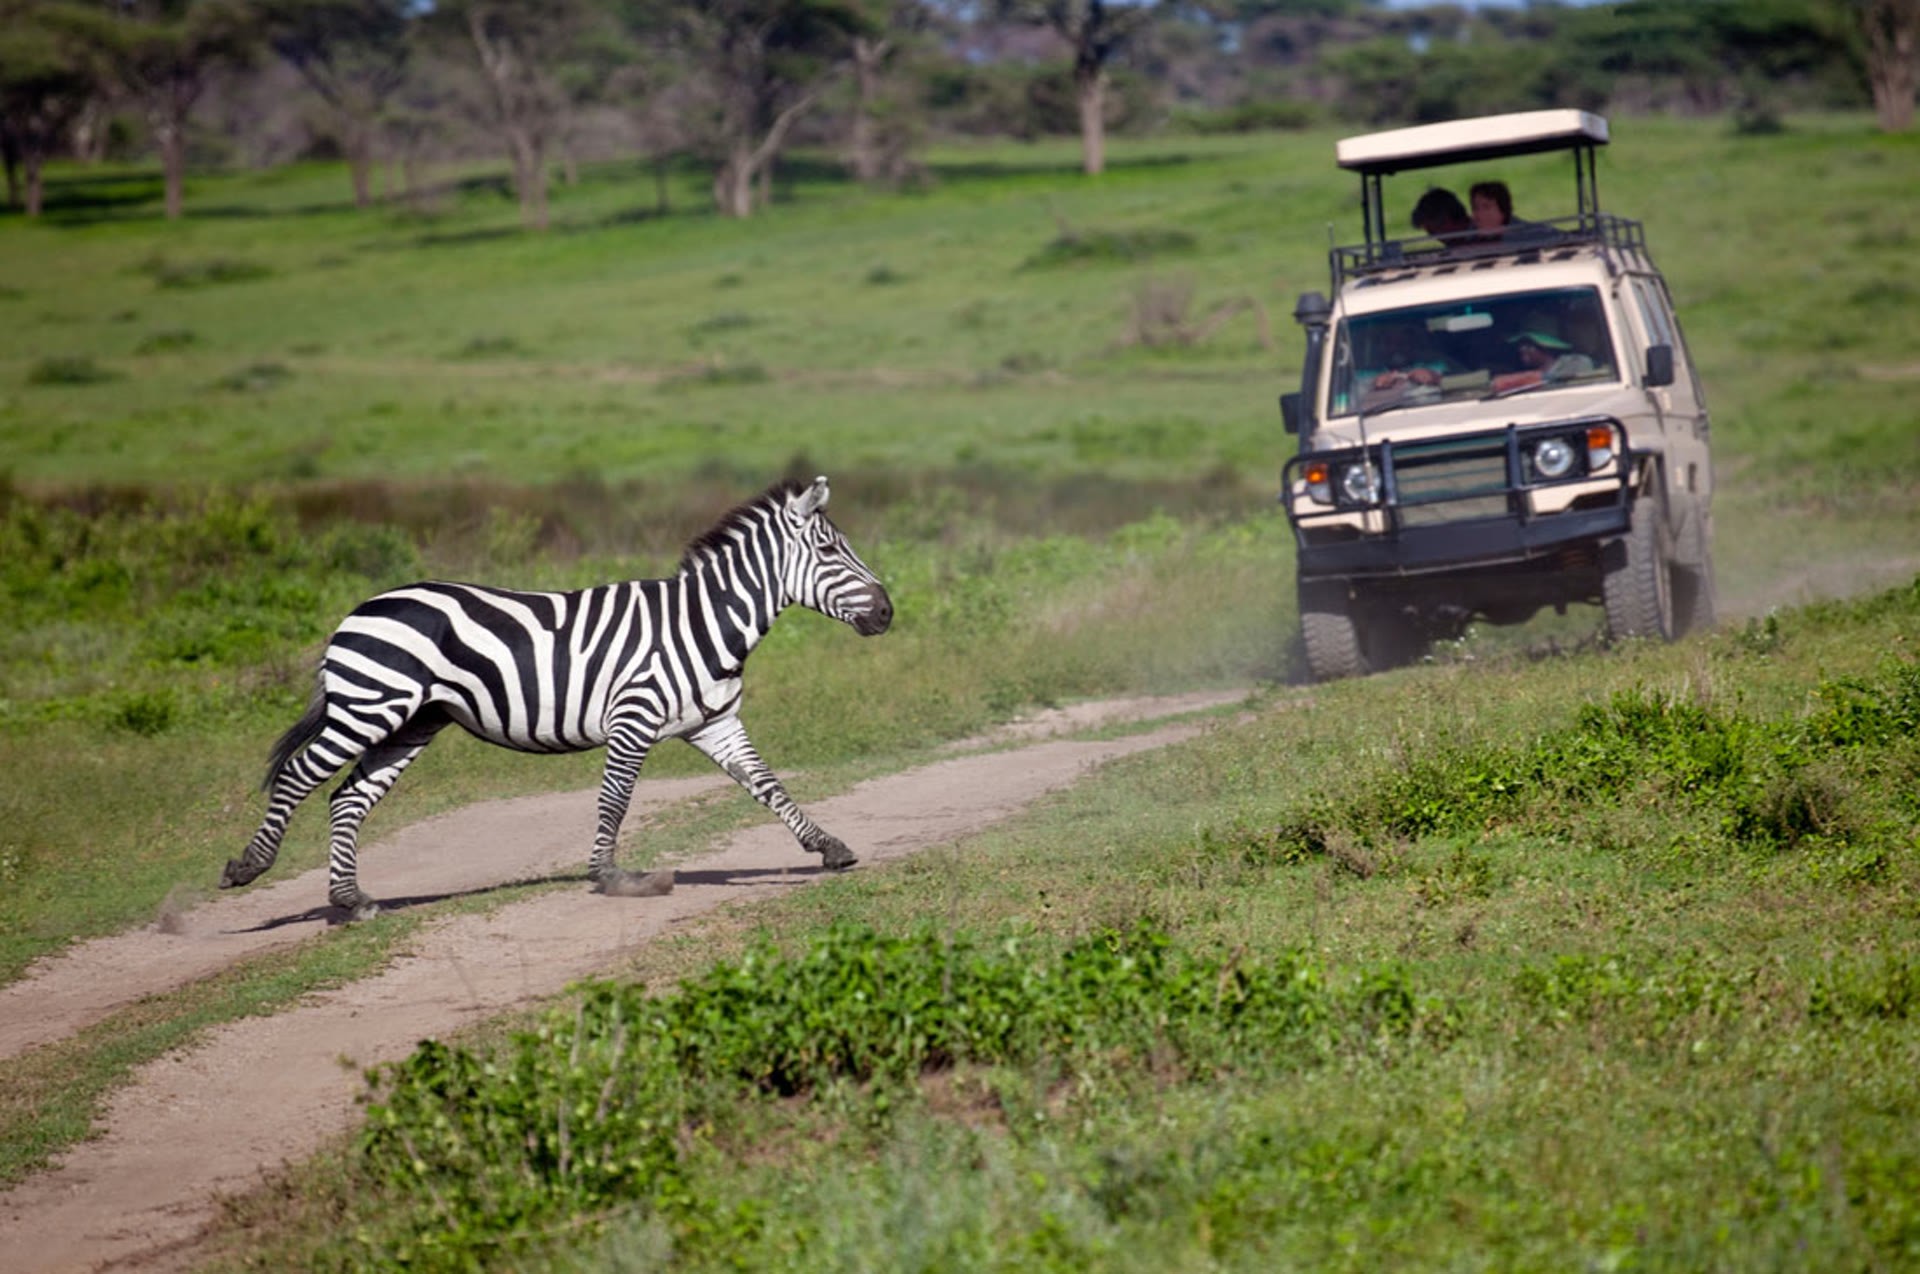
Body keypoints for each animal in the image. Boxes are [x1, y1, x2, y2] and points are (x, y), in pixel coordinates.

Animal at [221, 475, 892, 920]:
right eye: (829, 551)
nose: (888, 612)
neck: (703, 623)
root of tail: (356, 611)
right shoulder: (633, 717)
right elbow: (615, 800)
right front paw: (610, 876)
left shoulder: (716, 722)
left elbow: (768, 785)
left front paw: (829, 848)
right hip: (370, 706)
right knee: (298, 777)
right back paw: (250, 866)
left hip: (411, 721)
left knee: (347, 798)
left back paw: (351, 900)